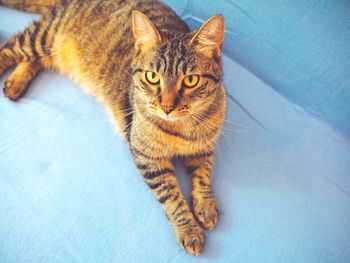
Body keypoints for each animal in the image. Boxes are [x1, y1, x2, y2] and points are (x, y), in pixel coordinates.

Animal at [0, 0, 227, 256]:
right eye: (152, 77)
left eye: (190, 80)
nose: (167, 107)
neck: (180, 128)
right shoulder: (147, 157)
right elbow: (171, 197)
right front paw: (188, 229)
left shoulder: (205, 147)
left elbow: (203, 176)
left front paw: (206, 205)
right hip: (44, 36)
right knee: (8, 48)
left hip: (53, 50)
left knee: (35, 59)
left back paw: (16, 82)